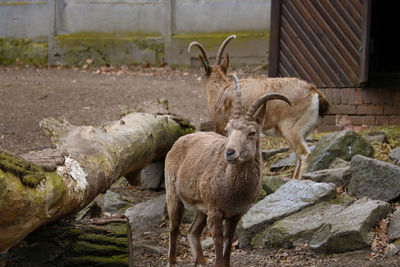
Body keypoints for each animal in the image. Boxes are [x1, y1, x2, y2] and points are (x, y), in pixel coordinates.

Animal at [164, 76, 290, 267]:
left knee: (193, 231)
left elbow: (228, 242)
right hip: (173, 194)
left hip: (202, 208)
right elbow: (218, 241)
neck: (233, 190)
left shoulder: (235, 214)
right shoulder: (216, 211)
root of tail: (179, 140)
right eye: (227, 130)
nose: (230, 152)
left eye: (252, 132)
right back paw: (172, 261)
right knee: (174, 228)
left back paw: (201, 261)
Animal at [189, 34, 330, 179]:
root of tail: (315, 92)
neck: (221, 91)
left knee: (303, 153)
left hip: (292, 130)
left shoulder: (221, 128)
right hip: (303, 132)